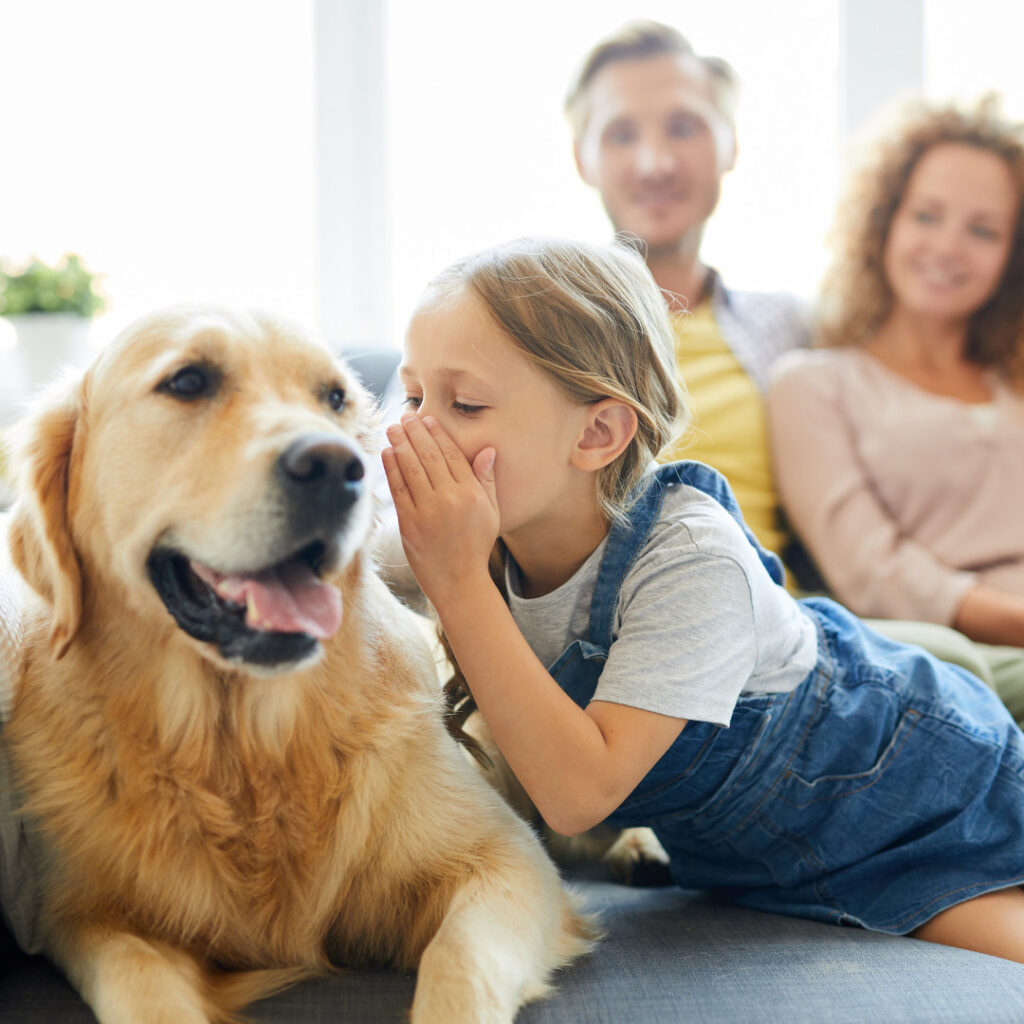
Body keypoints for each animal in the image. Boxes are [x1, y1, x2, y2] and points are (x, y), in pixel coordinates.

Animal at [4, 303, 593, 1024]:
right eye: (188, 381)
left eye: (334, 398)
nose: (338, 468)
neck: (243, 748)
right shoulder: (87, 916)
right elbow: (140, 985)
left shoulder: (507, 860)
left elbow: (459, 961)